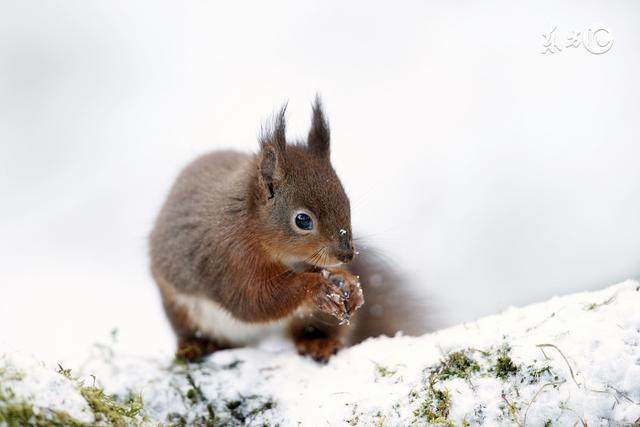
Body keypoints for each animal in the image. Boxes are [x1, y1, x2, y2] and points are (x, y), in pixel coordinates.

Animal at [148, 98, 422, 362]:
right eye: (302, 220)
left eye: (347, 203)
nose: (347, 255)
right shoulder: (230, 259)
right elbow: (254, 300)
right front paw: (317, 288)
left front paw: (348, 283)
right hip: (182, 310)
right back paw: (196, 345)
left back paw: (318, 341)